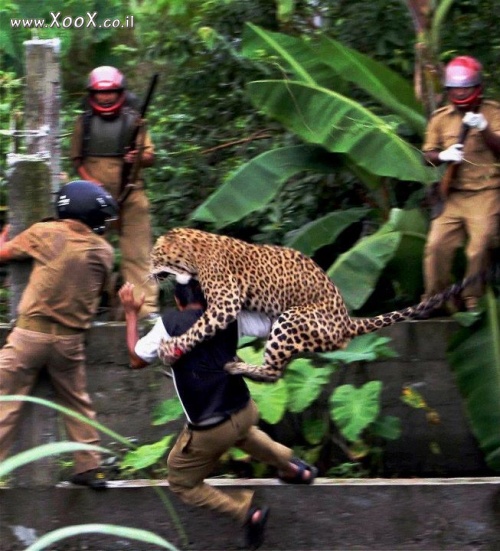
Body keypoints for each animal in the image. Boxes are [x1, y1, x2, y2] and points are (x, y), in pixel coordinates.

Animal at [151, 226, 476, 382]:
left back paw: (238, 366)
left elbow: (199, 327)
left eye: (155, 255)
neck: (193, 252)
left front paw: (171, 347)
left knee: (273, 372)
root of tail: (346, 321)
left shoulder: (225, 302)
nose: (148, 272)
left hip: (291, 318)